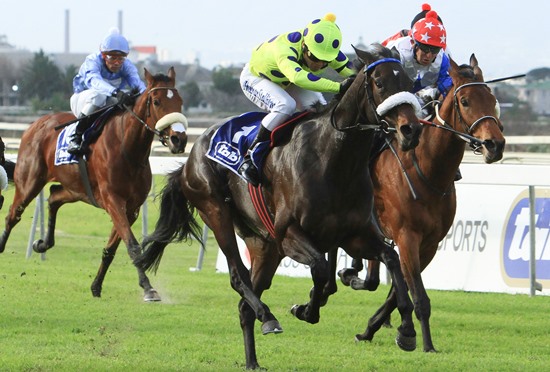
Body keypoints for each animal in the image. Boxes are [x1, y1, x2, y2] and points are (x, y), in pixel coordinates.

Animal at [0, 66, 189, 302]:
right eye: (156, 101)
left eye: (180, 101)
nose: (179, 139)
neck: (128, 149)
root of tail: (34, 125)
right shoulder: (113, 200)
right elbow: (133, 246)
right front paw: (148, 288)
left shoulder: (131, 208)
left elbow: (111, 249)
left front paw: (96, 286)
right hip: (29, 182)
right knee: (13, 213)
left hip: (76, 188)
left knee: (53, 196)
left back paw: (43, 243)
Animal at [136, 43, 424, 370]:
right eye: (379, 82)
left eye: (408, 82)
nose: (410, 130)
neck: (334, 160)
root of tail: (191, 156)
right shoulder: (289, 234)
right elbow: (321, 269)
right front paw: (305, 309)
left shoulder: (353, 235)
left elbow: (391, 259)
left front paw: (406, 331)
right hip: (216, 212)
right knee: (238, 276)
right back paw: (268, 316)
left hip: (264, 245)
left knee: (244, 304)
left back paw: (253, 358)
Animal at [338, 54, 506, 352]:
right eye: (465, 101)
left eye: (492, 98)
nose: (494, 145)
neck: (427, 171)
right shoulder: (406, 236)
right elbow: (417, 294)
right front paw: (424, 343)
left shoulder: (429, 244)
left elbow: (400, 291)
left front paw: (373, 328)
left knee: (372, 277)